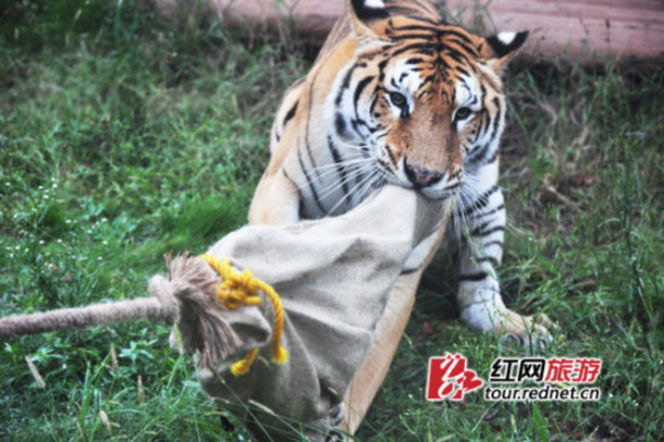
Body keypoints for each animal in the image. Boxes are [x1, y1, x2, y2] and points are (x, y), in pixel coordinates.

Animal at [248, 0, 554, 433]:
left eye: (463, 112)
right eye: (397, 99)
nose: (424, 175)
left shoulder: (402, 275)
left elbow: (368, 362)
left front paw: (336, 425)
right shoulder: (282, 179)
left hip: (487, 198)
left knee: (477, 290)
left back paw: (515, 328)